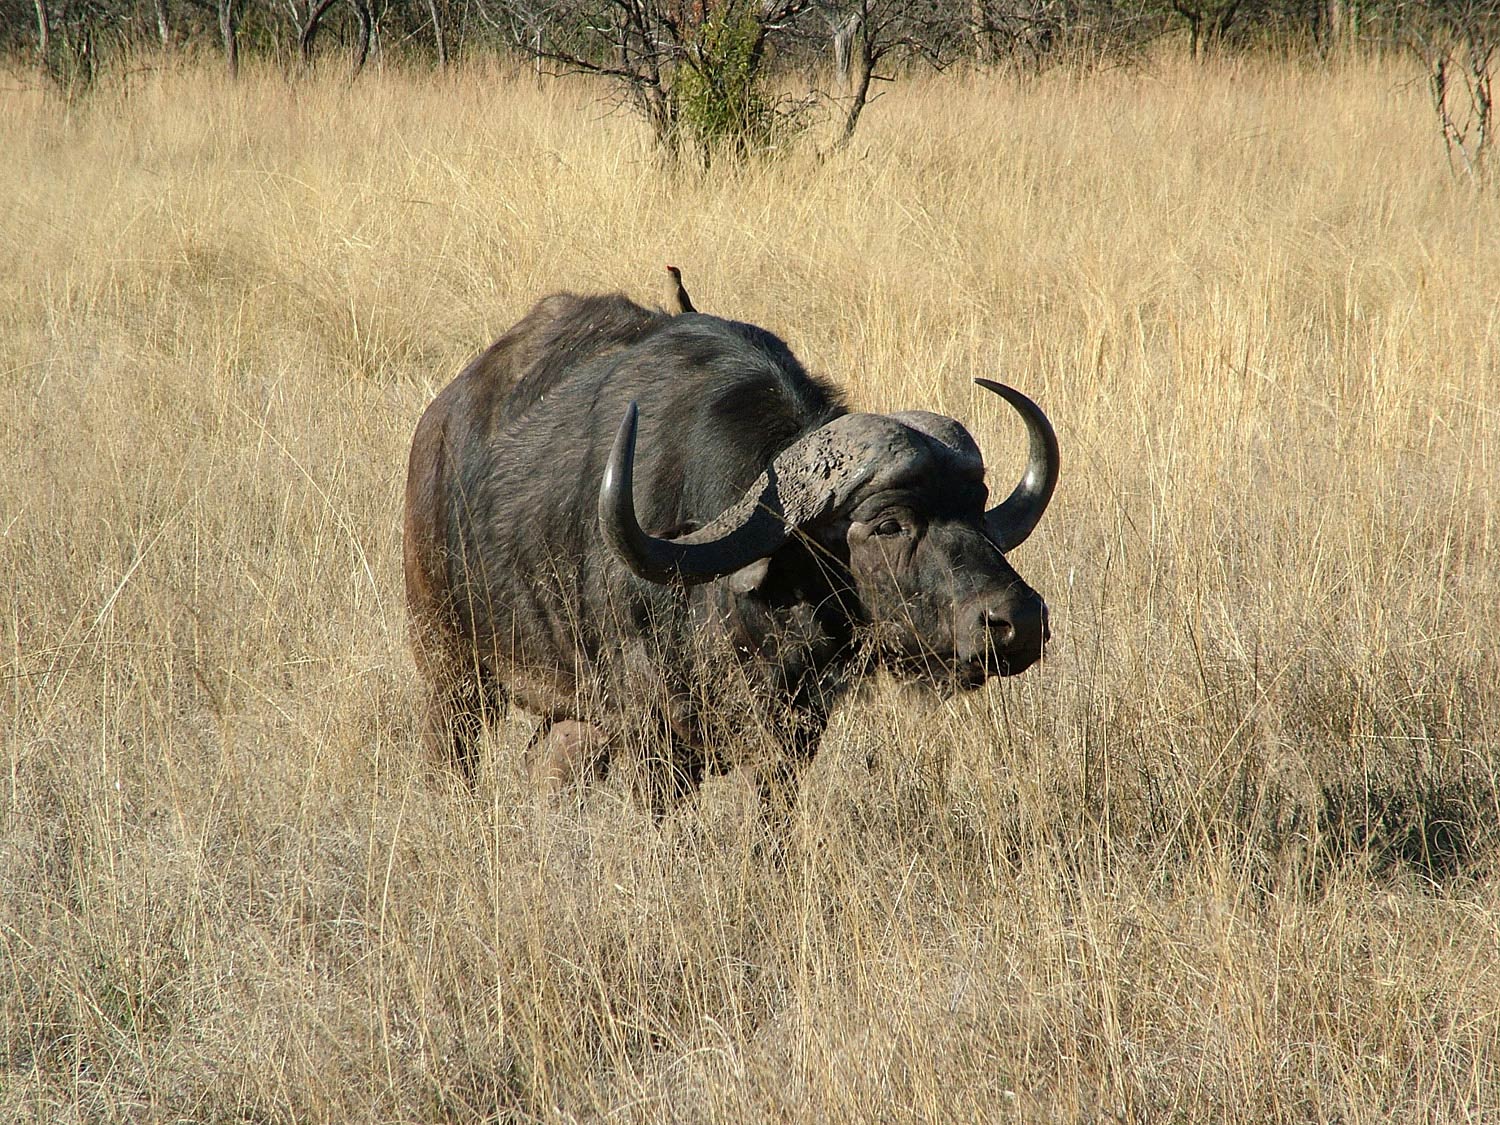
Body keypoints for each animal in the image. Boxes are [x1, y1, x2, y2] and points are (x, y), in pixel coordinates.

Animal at [399, 286, 1056, 816]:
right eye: (888, 524)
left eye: (977, 505)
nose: (1018, 621)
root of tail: (437, 422)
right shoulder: (654, 738)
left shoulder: (791, 738)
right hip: (450, 666)